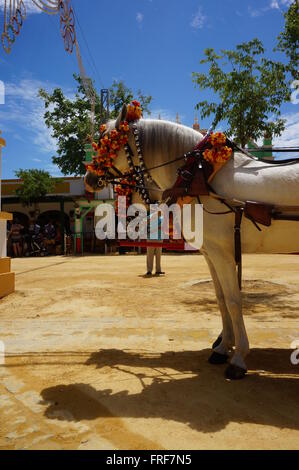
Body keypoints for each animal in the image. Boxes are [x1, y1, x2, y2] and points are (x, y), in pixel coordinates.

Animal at [85, 104, 299, 380]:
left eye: (106, 142)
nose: (89, 179)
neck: (198, 177)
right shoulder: (211, 253)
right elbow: (220, 298)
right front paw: (223, 346)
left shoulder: (222, 253)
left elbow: (233, 301)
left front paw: (239, 357)